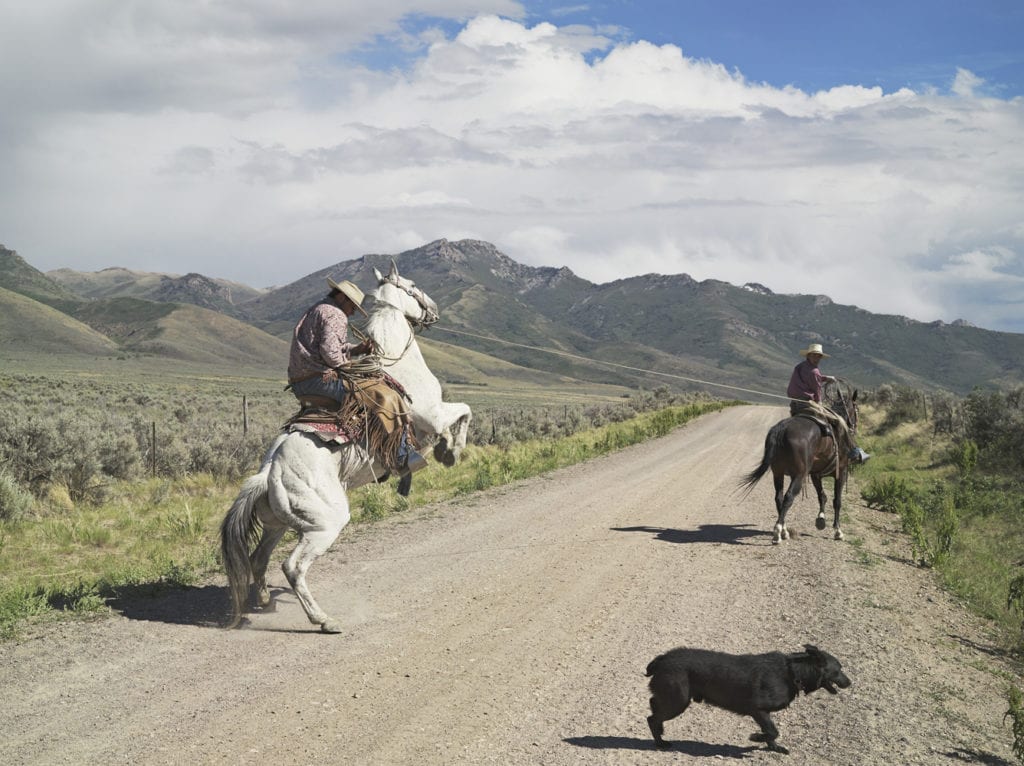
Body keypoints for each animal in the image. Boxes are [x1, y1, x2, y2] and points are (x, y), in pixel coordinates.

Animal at [643, 639, 851, 753]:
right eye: (838, 670)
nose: (850, 683)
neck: (792, 672)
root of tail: (662, 659)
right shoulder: (758, 709)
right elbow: (773, 731)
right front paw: (756, 738)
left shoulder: (764, 714)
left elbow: (771, 732)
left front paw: (773, 747)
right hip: (678, 701)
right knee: (652, 718)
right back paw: (660, 742)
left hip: (673, 698)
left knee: (654, 706)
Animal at [741, 389, 860, 544]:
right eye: (857, 409)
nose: (854, 427)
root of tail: (782, 428)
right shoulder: (841, 471)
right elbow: (837, 501)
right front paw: (837, 531)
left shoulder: (815, 474)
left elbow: (822, 496)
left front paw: (821, 519)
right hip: (799, 475)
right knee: (788, 497)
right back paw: (777, 532)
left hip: (778, 473)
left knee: (779, 498)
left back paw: (784, 530)